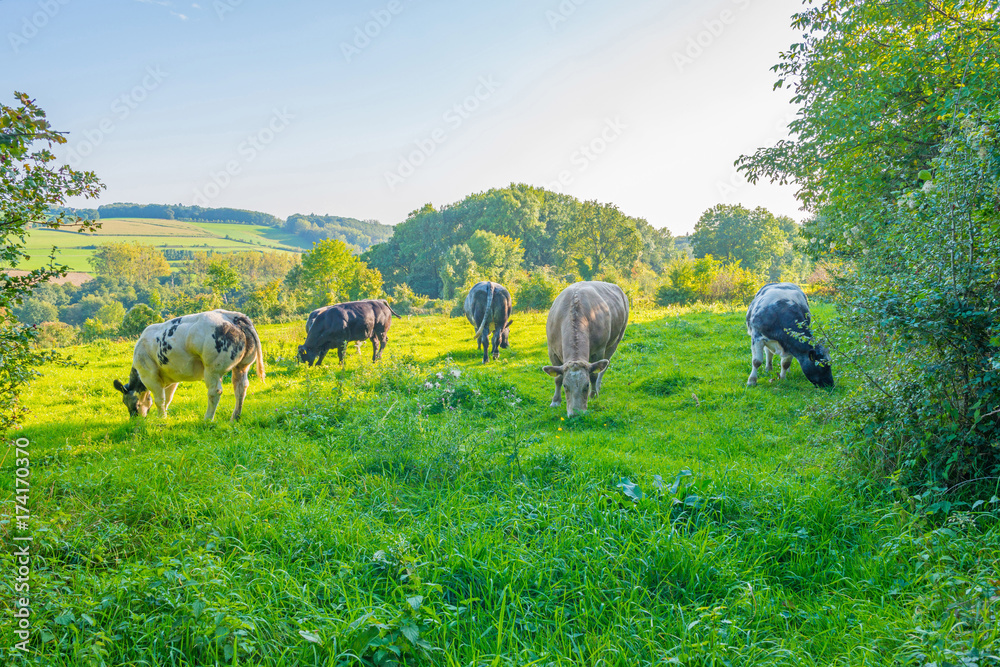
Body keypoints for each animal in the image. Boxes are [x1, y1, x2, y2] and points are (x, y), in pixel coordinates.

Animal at [113, 309, 265, 421]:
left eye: (125, 401)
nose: (134, 420)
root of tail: (233, 317)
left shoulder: (149, 375)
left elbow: (159, 399)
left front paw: (161, 419)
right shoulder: (172, 378)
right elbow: (168, 398)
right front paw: (165, 416)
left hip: (212, 369)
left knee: (215, 392)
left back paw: (207, 419)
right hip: (242, 365)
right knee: (240, 388)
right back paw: (235, 418)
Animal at [543, 281, 629, 417]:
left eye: (586, 385)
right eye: (565, 386)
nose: (576, 414)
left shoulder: (599, 350)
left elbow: (594, 374)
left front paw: (593, 395)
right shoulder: (552, 351)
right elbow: (557, 378)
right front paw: (555, 401)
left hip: (616, 340)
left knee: (604, 366)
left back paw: (598, 387)